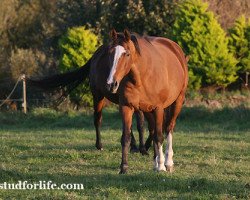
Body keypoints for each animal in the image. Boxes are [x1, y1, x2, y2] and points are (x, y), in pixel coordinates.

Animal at [106, 28, 188, 173]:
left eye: (127, 54)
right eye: (110, 53)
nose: (111, 84)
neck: (141, 77)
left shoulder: (159, 108)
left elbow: (159, 136)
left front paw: (161, 166)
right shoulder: (126, 107)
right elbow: (126, 137)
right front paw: (123, 167)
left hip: (177, 102)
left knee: (169, 128)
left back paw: (168, 162)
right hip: (148, 111)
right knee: (154, 130)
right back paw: (156, 161)